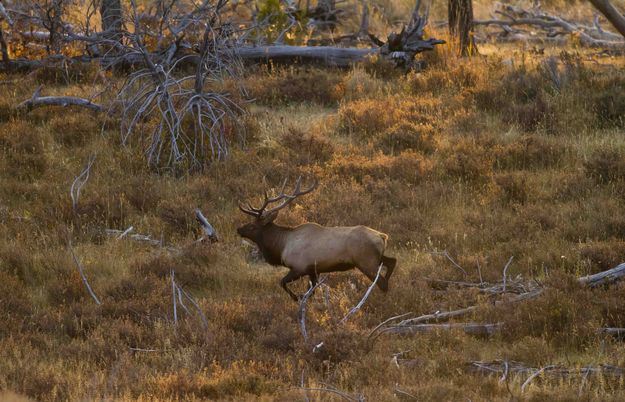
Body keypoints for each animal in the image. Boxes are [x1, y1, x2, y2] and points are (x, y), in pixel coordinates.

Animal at [236, 177, 398, 300]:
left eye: (252, 226)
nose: (239, 229)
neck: (281, 246)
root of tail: (382, 236)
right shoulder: (313, 271)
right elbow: (312, 291)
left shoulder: (299, 267)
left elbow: (282, 282)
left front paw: (296, 297)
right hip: (376, 258)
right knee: (392, 262)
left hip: (366, 262)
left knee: (382, 282)